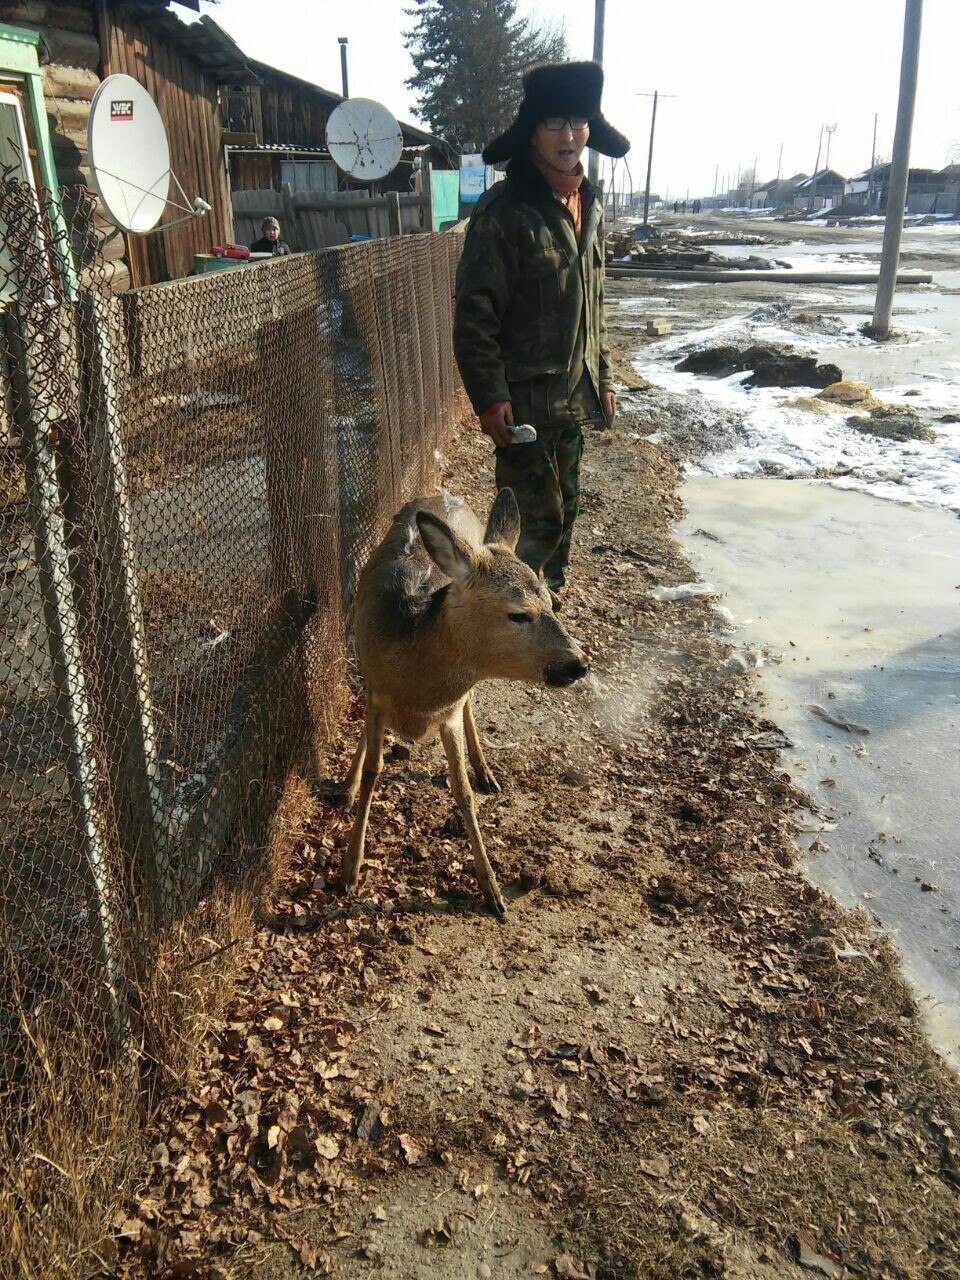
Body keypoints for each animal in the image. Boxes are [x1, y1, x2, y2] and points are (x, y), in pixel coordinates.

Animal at [337, 483, 593, 916]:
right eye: (519, 614)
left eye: (550, 602)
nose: (579, 663)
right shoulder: (374, 689)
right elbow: (374, 771)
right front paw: (350, 868)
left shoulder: (448, 712)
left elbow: (462, 791)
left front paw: (491, 888)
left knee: (472, 702)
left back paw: (485, 769)